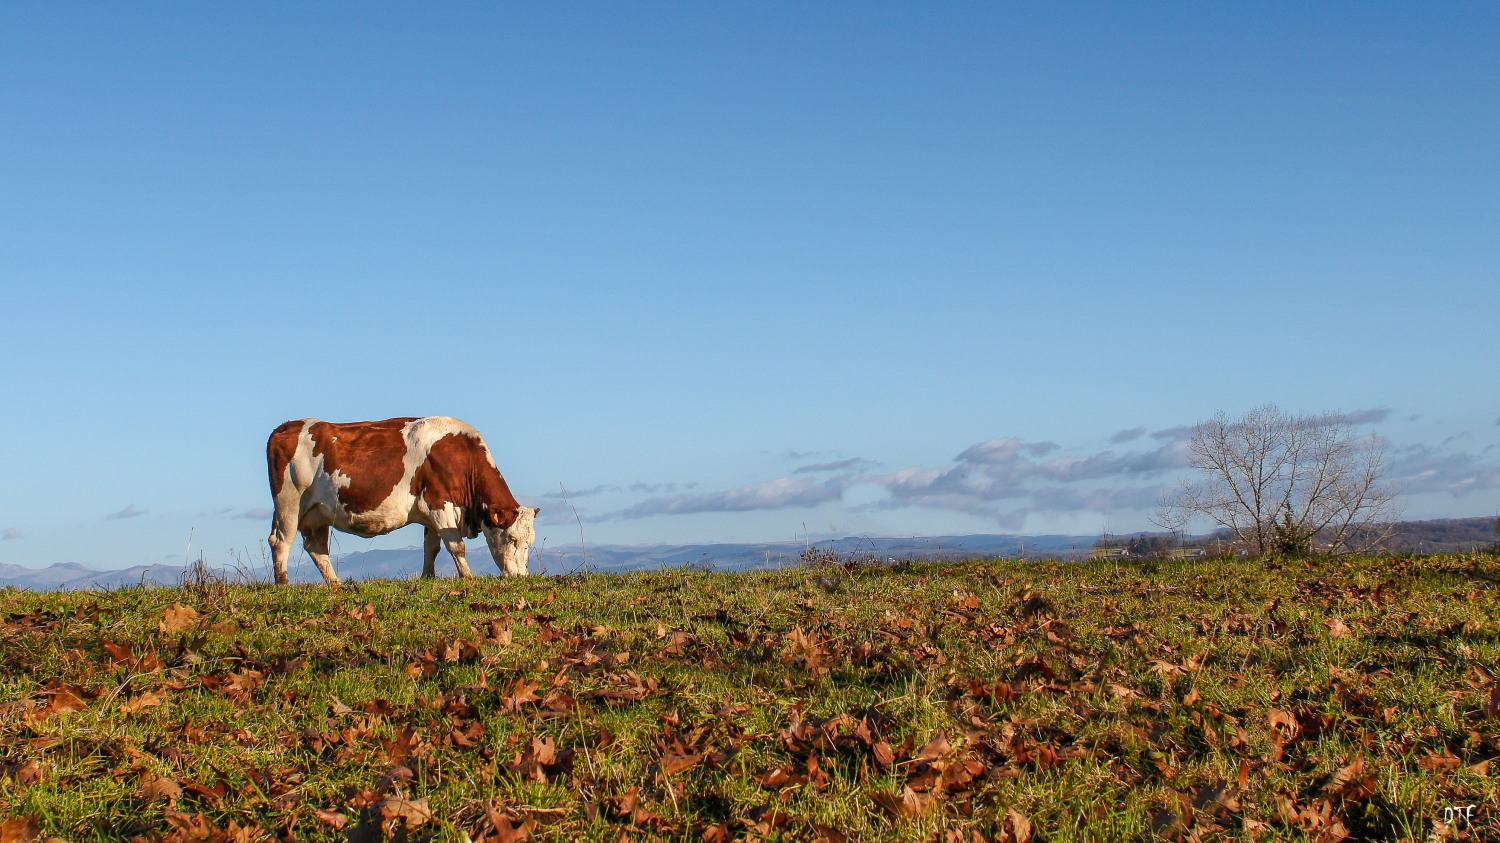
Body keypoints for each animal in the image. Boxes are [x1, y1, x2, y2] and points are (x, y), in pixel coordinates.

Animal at [268, 414, 540, 585]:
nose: (521, 576)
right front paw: (468, 577)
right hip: (289, 502)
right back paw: (282, 583)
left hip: (317, 514)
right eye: (513, 539)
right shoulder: (438, 502)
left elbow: (432, 548)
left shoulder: (432, 515)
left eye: (530, 542)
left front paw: (428, 578)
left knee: (316, 547)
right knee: (281, 541)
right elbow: (456, 546)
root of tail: (288, 426)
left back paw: (335, 584)